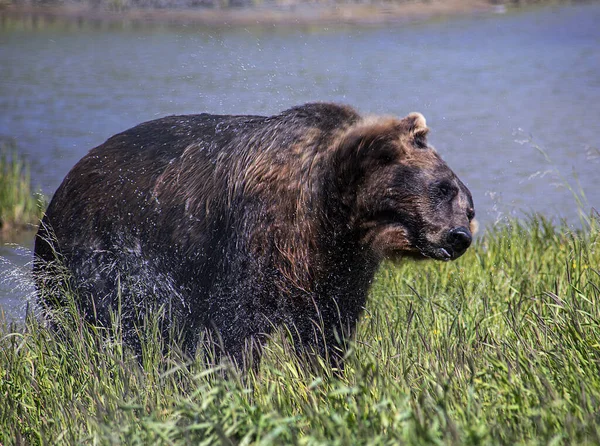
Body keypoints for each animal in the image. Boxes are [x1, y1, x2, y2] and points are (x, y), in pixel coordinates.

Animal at [32, 104, 476, 370]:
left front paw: (327, 372)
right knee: (101, 322)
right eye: (442, 188)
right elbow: (238, 322)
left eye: (468, 207)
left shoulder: (336, 261)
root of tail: (57, 193)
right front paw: (238, 376)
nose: (459, 237)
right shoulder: (258, 236)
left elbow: (328, 325)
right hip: (93, 249)